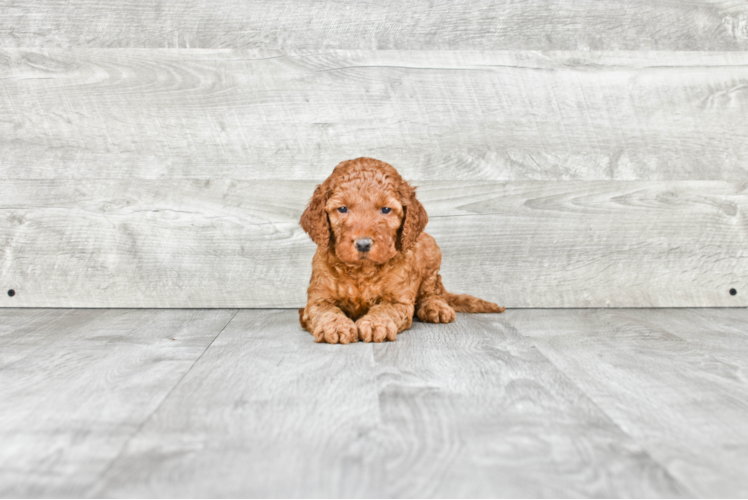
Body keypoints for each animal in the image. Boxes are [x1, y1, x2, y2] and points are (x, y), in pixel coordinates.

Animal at [298, 157, 502, 344]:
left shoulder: (398, 300)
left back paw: (435, 307)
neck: (362, 271)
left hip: (431, 251)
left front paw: (375, 323)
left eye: (386, 210)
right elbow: (325, 310)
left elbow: (386, 309)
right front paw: (335, 326)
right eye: (342, 209)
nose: (363, 244)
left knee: (431, 291)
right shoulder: (317, 298)